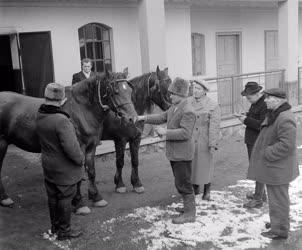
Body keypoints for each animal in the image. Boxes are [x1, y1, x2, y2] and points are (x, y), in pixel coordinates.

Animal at [0, 70, 139, 207]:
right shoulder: (78, 148)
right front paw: (79, 203)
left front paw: (96, 197)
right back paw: (5, 198)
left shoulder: (91, 146)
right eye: (115, 91)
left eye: (130, 91)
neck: (82, 109)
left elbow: (91, 171)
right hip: (2, 144)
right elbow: (78, 175)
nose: (132, 118)